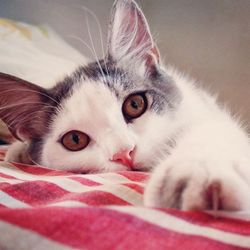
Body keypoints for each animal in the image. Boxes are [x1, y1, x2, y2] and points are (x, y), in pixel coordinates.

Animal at [0, 0, 250, 211]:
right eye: (75, 140)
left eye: (135, 104)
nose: (124, 153)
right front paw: (21, 151)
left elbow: (211, 130)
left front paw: (195, 173)